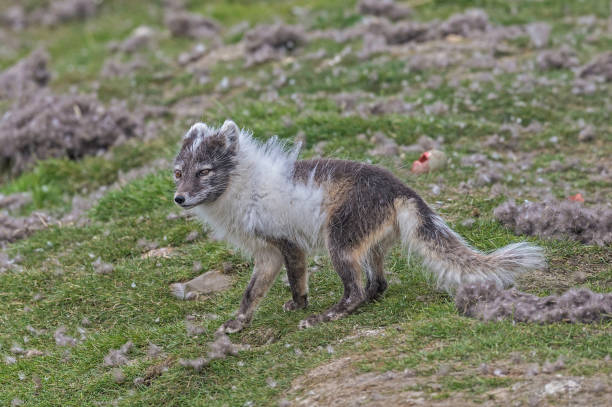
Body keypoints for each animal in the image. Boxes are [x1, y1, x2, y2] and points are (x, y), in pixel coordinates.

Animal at [172, 119, 544, 334]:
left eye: (203, 171)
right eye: (178, 173)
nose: (179, 198)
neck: (242, 186)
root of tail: (401, 190)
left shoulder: (287, 243)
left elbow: (295, 277)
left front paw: (301, 307)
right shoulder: (267, 252)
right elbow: (252, 291)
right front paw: (239, 322)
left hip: (340, 239)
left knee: (354, 291)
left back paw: (326, 317)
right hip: (371, 242)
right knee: (377, 283)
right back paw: (369, 300)